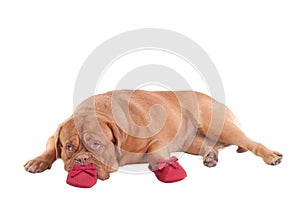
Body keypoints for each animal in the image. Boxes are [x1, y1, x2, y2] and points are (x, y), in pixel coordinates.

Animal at [24, 90, 282, 182]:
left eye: (96, 144)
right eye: (69, 148)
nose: (82, 159)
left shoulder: (159, 138)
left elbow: (155, 150)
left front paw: (162, 166)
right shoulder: (54, 135)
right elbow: (49, 148)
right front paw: (38, 161)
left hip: (221, 125)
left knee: (251, 142)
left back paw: (271, 155)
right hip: (192, 141)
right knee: (208, 146)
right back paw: (210, 156)